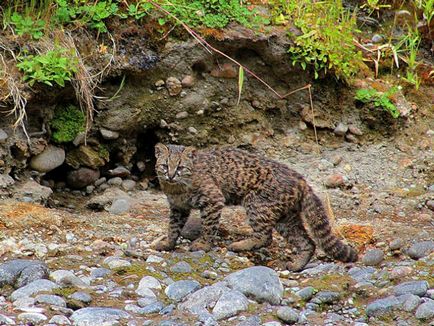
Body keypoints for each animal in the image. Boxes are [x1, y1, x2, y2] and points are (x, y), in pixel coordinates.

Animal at [153, 144, 356, 272]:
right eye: (164, 165)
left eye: (180, 167)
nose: (170, 175)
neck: (176, 188)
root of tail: (302, 180)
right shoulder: (178, 208)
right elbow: (173, 227)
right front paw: (168, 243)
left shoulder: (213, 199)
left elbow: (209, 226)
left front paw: (203, 244)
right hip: (286, 218)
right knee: (307, 242)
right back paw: (297, 265)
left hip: (256, 204)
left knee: (265, 237)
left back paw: (239, 245)